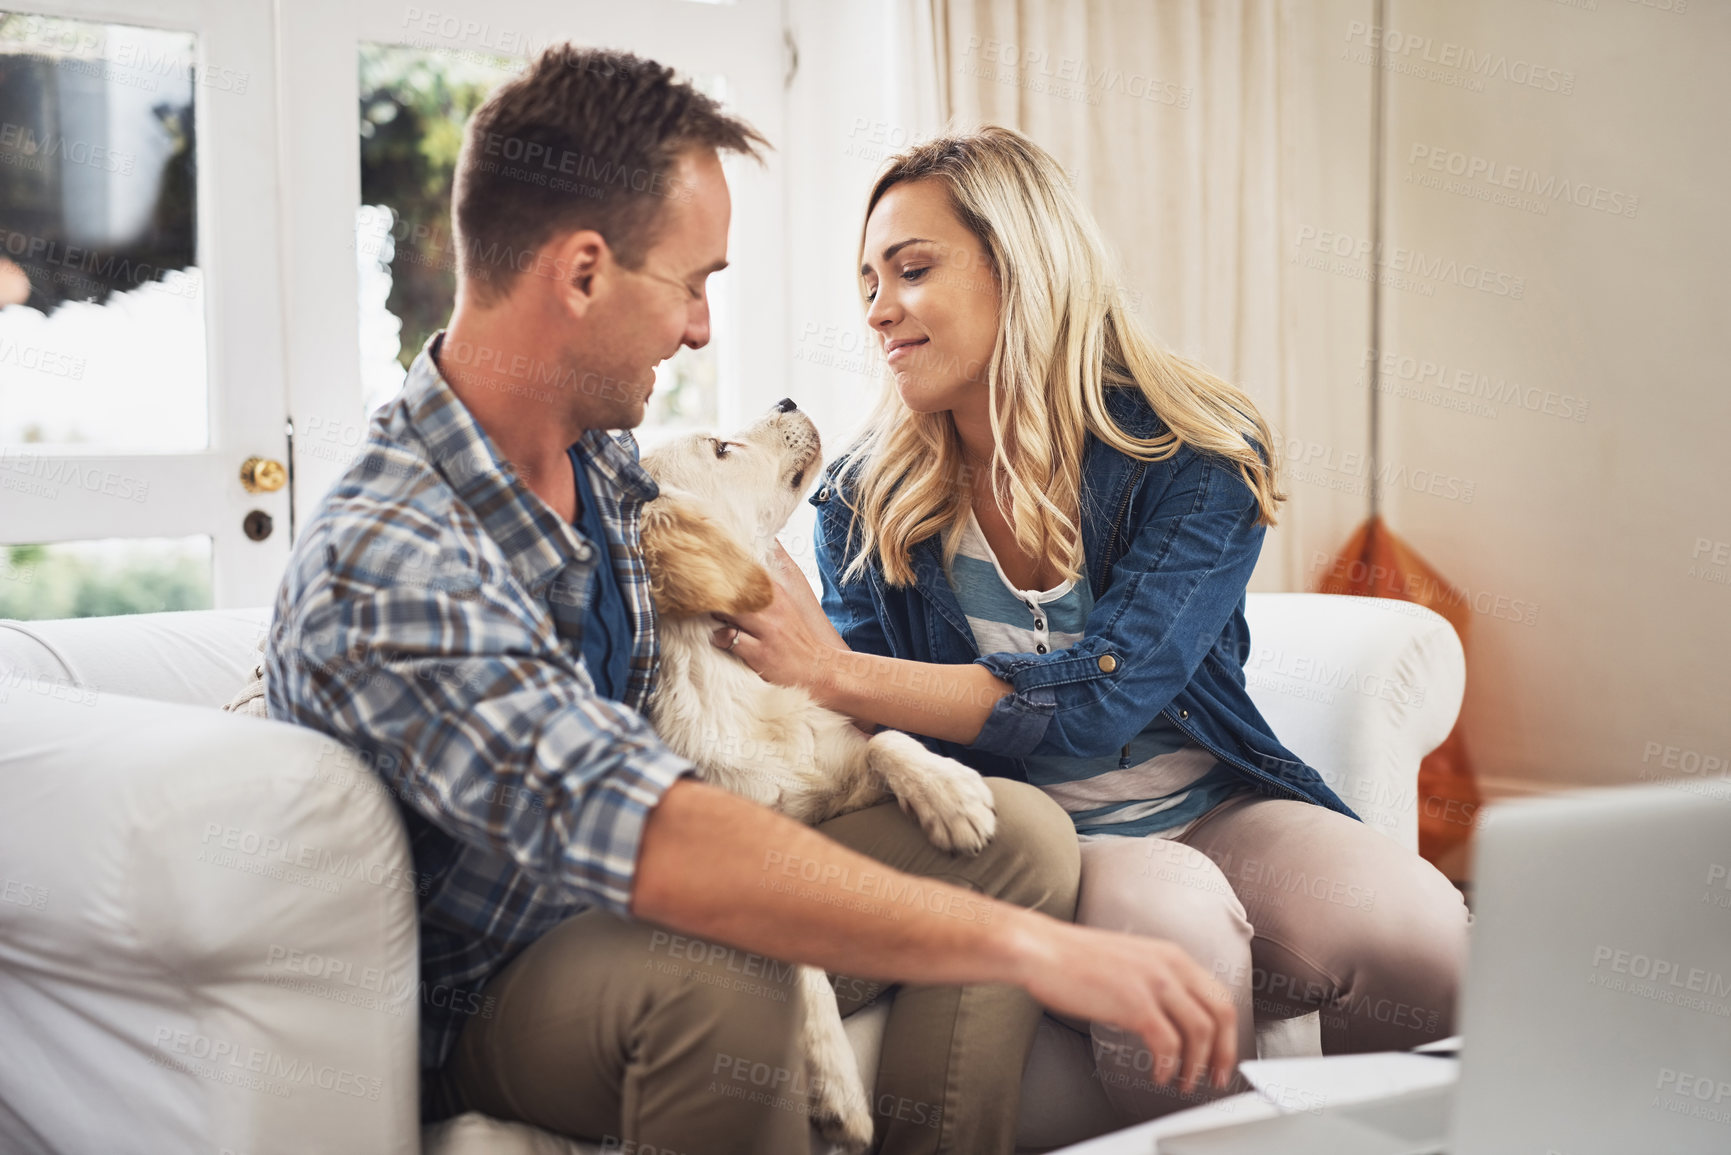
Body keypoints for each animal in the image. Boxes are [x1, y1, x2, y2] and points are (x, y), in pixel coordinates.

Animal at [643, 394, 1003, 1149]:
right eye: (721, 448)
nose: (785, 399)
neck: (742, 681)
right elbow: (799, 954)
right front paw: (834, 1079)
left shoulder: (841, 762)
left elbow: (885, 738)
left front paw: (947, 794)